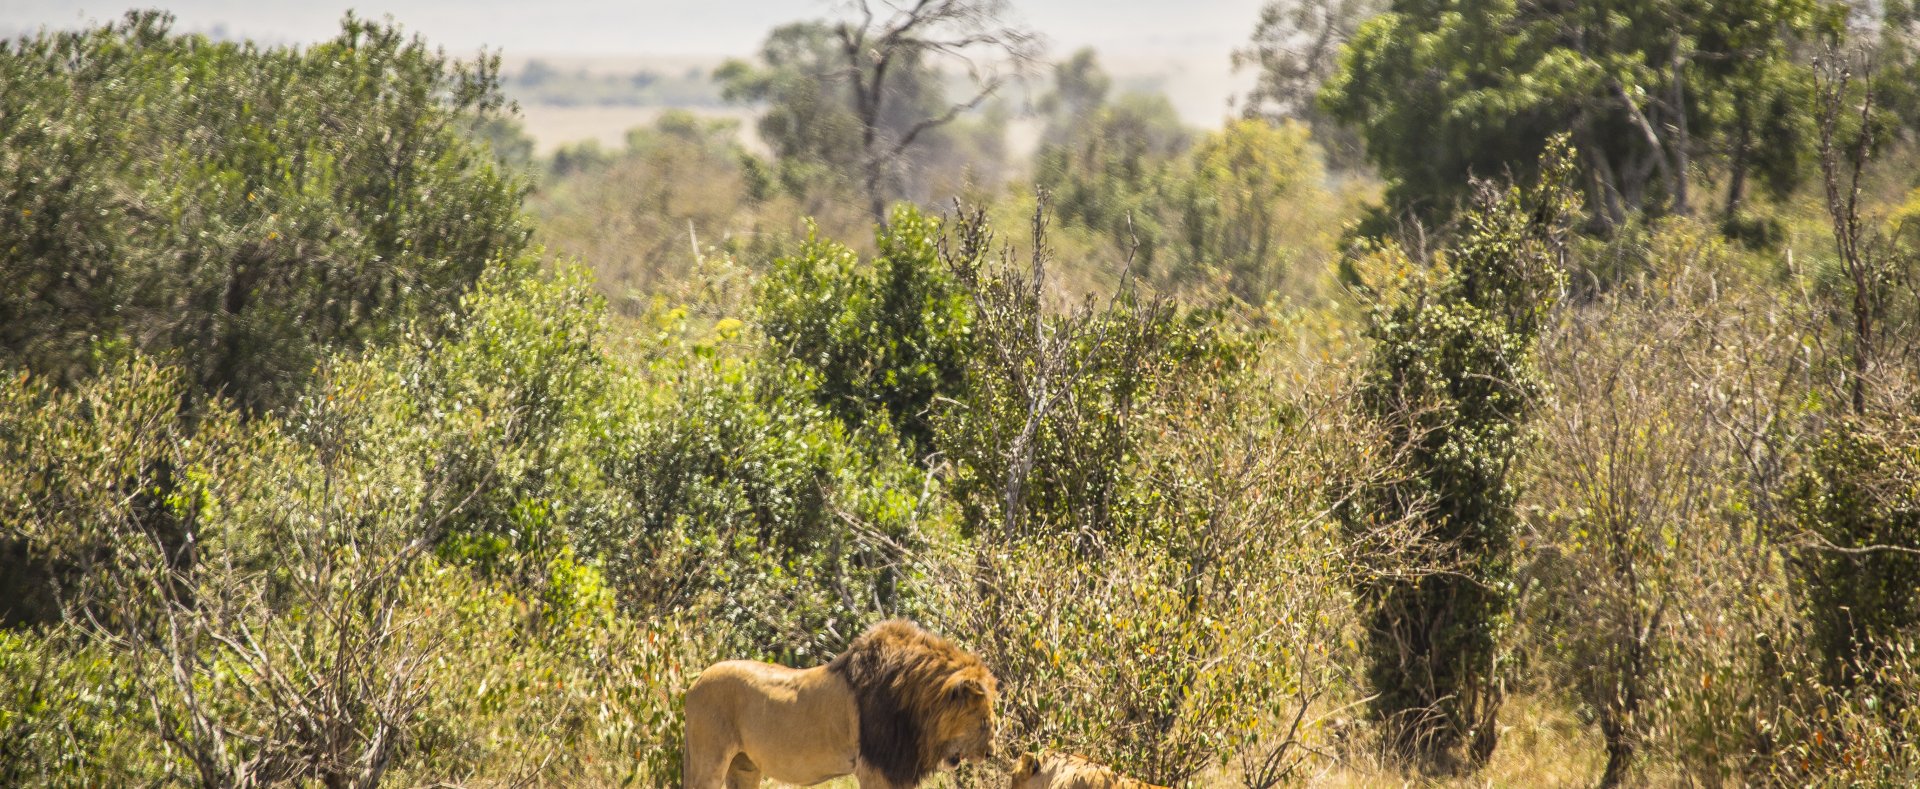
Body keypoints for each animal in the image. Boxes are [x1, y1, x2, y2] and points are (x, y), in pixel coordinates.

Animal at [683, 621, 998, 787]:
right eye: (984, 721)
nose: (990, 754)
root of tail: (694, 685)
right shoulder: (875, 771)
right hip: (709, 761)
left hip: (744, 767)